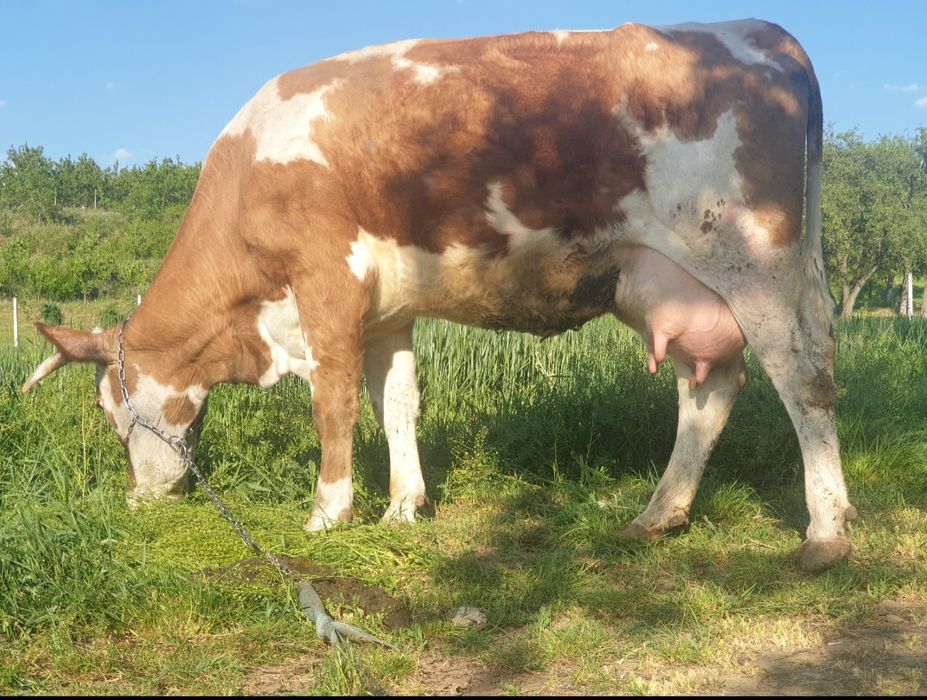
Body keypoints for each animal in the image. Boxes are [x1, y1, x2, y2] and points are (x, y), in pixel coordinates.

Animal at [23, 19, 856, 572]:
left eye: (108, 410)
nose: (139, 500)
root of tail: (755, 31)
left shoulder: (327, 282)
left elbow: (334, 403)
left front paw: (327, 513)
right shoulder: (386, 311)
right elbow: (396, 402)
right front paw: (402, 507)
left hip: (756, 262)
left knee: (801, 375)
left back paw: (823, 532)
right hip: (677, 286)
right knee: (710, 387)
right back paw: (658, 515)